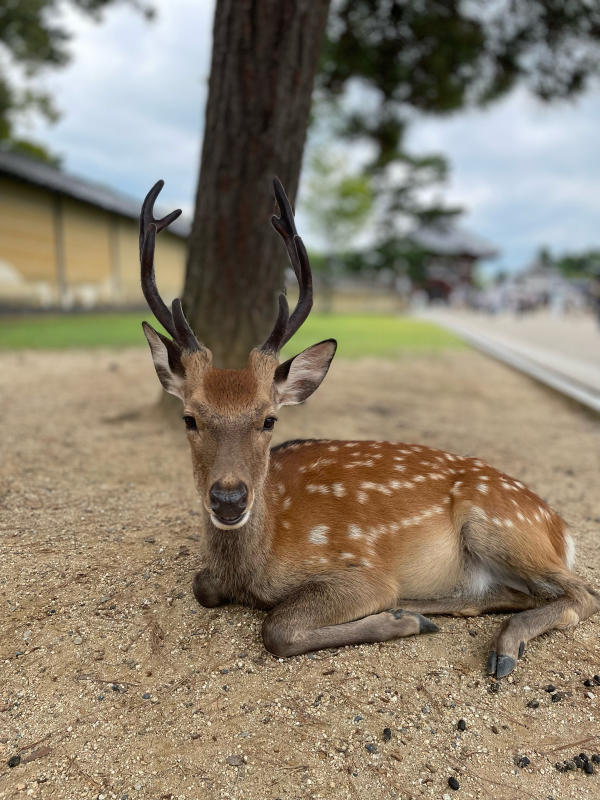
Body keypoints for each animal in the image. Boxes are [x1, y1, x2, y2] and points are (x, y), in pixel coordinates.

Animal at [139, 178, 596, 680]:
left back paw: (499, 645)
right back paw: (427, 608)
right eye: (190, 418)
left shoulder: (362, 569)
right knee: (519, 593)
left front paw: (397, 621)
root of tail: (560, 528)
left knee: (581, 592)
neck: (255, 566)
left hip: (500, 525)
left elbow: (277, 625)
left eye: (268, 419)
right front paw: (403, 616)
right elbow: (202, 586)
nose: (228, 498)